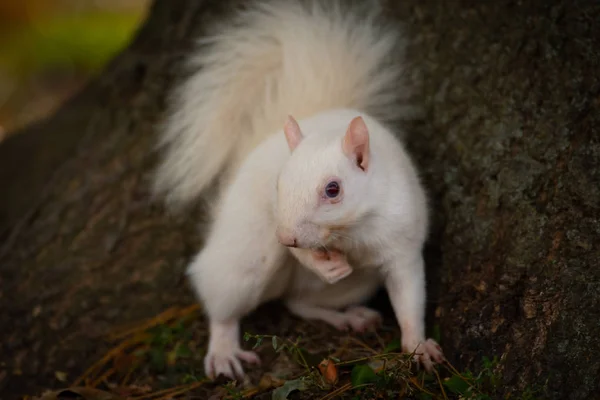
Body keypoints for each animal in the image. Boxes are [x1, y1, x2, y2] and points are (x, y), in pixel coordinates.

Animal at [154, 0, 446, 382]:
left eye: (333, 189)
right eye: (278, 183)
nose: (287, 236)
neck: (349, 233)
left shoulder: (402, 241)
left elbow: (409, 297)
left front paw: (418, 346)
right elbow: (296, 255)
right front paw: (317, 261)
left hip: (356, 284)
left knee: (298, 302)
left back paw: (348, 316)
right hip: (247, 259)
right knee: (225, 305)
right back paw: (224, 349)